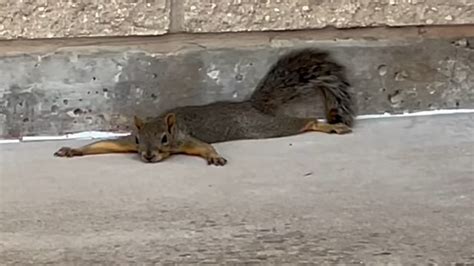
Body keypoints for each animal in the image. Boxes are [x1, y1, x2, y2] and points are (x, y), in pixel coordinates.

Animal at [53, 47, 354, 164]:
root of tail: (251, 104)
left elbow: (204, 147)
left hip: (264, 127)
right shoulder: (126, 143)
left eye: (165, 138)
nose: (147, 156)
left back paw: (329, 127)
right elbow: (103, 145)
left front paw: (214, 157)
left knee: (301, 123)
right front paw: (73, 150)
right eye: (138, 139)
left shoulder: (186, 140)